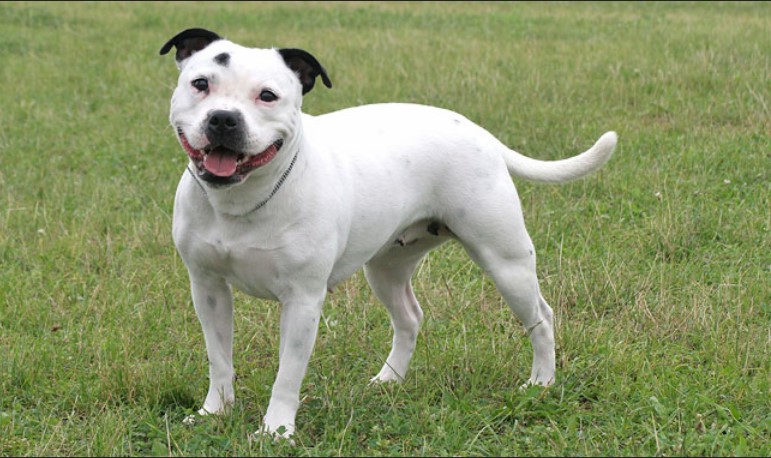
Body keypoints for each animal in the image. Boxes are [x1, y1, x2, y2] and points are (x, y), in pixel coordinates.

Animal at [160, 26, 620, 438]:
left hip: (506, 262)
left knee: (540, 317)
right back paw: (389, 379)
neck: (240, 201)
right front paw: (215, 413)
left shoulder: (302, 301)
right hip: (385, 269)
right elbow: (219, 358)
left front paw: (276, 430)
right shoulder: (208, 289)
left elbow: (287, 375)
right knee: (409, 318)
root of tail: (479, 132)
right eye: (201, 84)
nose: (223, 119)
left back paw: (540, 383)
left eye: (268, 96)